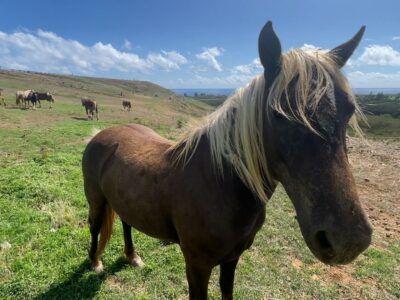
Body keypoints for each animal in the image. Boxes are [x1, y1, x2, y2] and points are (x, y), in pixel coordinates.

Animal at [82, 21, 372, 300]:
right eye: (279, 114)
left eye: (349, 110)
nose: (348, 241)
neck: (219, 183)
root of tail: (102, 134)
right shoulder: (197, 266)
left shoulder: (232, 258)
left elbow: (227, 291)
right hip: (96, 199)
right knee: (95, 226)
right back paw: (95, 262)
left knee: (126, 223)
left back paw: (132, 256)